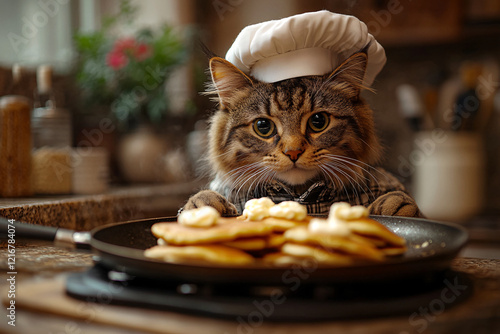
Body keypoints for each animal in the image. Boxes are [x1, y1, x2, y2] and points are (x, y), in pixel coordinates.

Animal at [186, 47, 424, 219]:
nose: (293, 152)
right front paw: (203, 204)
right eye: (263, 126)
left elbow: (407, 204)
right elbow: (201, 200)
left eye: (318, 122)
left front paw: (394, 205)